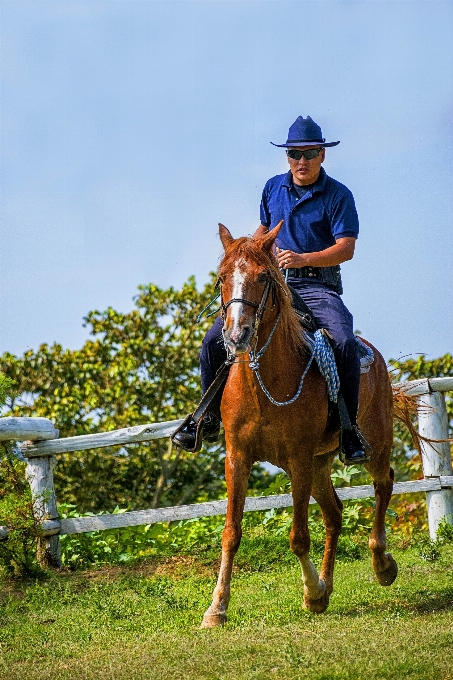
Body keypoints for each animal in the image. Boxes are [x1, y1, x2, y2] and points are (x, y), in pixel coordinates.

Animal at [200, 223, 396, 628]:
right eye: (222, 278)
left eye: (263, 277)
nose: (236, 336)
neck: (266, 382)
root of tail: (375, 356)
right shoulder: (238, 458)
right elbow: (231, 533)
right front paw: (217, 607)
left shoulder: (299, 460)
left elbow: (299, 537)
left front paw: (311, 591)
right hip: (321, 464)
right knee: (335, 514)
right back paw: (328, 585)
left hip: (373, 446)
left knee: (384, 484)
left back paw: (381, 563)